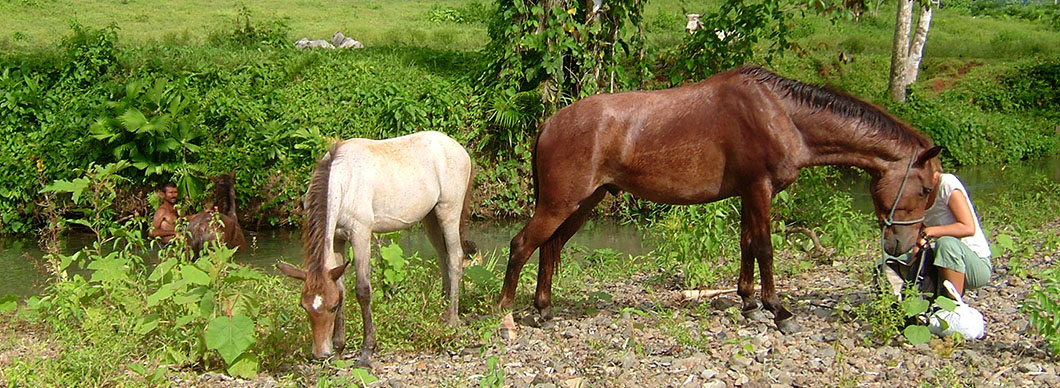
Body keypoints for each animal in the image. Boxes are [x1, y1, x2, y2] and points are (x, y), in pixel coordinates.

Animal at [275, 130, 474, 364]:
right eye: (304, 306)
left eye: (332, 307)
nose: (320, 353)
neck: (343, 181)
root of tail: (458, 149)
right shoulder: (337, 239)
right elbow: (341, 288)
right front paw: (339, 347)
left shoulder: (360, 234)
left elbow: (363, 290)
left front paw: (367, 350)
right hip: (430, 218)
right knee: (443, 257)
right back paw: (443, 309)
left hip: (448, 213)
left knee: (455, 258)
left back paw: (451, 319)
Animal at [498, 66, 945, 339]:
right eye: (926, 189)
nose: (905, 246)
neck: (781, 113)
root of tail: (550, 123)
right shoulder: (760, 188)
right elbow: (765, 248)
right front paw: (779, 311)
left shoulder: (748, 192)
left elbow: (747, 245)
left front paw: (748, 303)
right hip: (561, 204)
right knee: (521, 246)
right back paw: (506, 319)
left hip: (581, 204)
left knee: (549, 247)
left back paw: (544, 310)